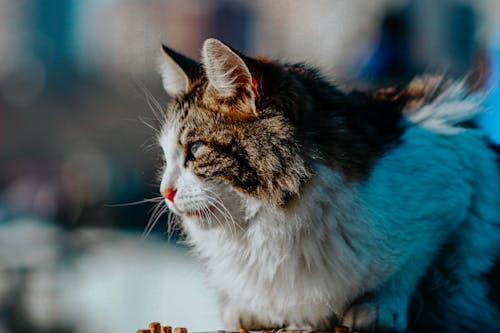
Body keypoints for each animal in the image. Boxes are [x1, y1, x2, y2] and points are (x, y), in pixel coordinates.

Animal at [155, 37, 500, 330]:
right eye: (166, 156)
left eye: (195, 150)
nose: (165, 192)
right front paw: (251, 309)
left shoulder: (451, 173)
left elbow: (410, 266)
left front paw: (375, 308)